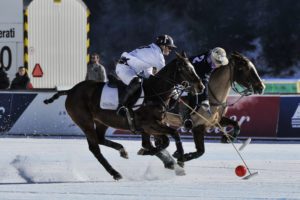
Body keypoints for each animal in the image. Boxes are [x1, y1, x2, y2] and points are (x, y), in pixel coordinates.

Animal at [44, 52, 204, 180]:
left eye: (193, 67)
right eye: (186, 69)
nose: (201, 87)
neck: (155, 92)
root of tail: (71, 90)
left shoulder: (150, 127)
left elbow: (158, 142)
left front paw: (170, 161)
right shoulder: (150, 124)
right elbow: (172, 135)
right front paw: (178, 159)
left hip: (102, 121)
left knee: (100, 139)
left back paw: (122, 151)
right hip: (85, 122)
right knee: (94, 148)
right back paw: (115, 173)